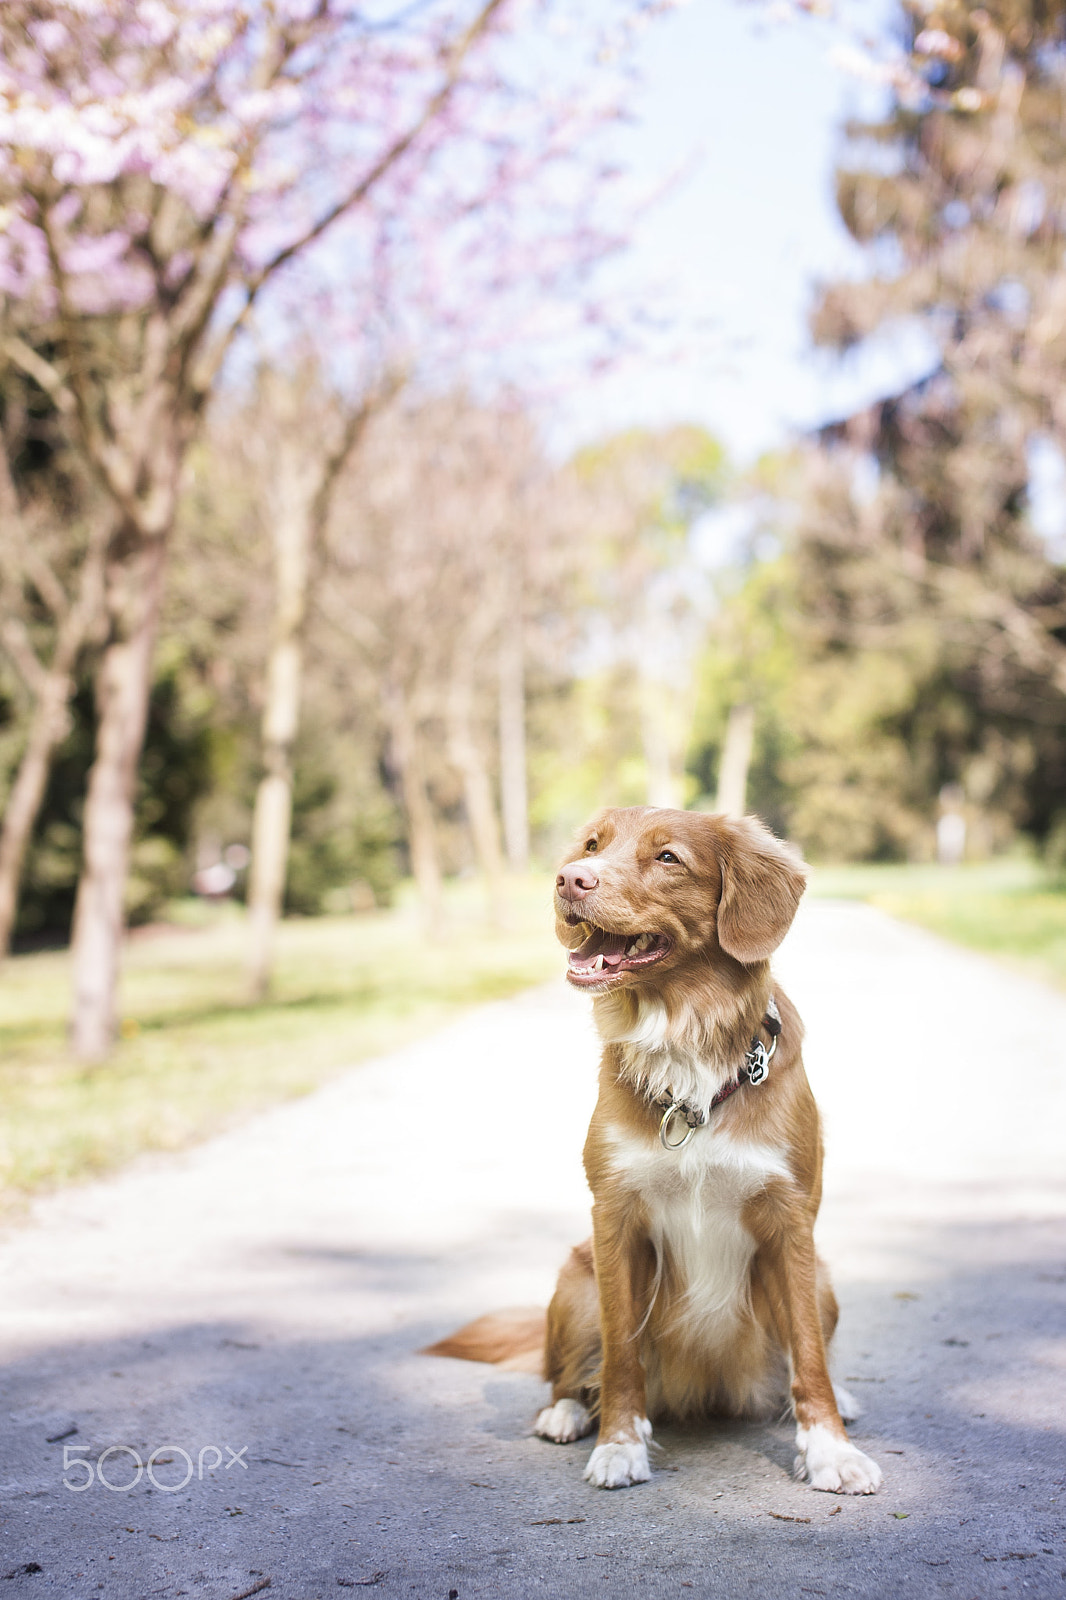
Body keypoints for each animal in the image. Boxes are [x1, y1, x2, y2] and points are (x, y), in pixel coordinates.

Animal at [422, 806, 877, 1491]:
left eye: (668, 858)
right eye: (592, 845)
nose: (569, 879)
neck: (685, 1047)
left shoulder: (791, 1223)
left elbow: (809, 1358)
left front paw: (830, 1451)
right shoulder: (616, 1220)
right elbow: (621, 1355)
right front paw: (620, 1445)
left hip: (824, 1281)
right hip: (574, 1281)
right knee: (568, 1375)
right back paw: (565, 1413)